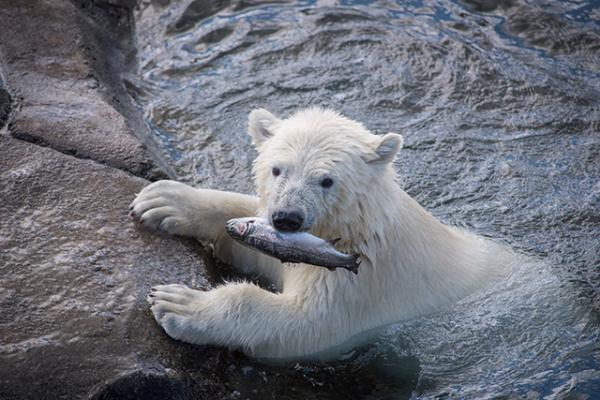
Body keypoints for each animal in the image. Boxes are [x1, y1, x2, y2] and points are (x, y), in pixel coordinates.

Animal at [130, 106, 506, 360]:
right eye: (277, 169)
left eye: (326, 180)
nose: (286, 218)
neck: (354, 225)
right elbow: (250, 239)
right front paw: (162, 201)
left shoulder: (362, 279)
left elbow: (306, 324)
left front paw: (178, 304)